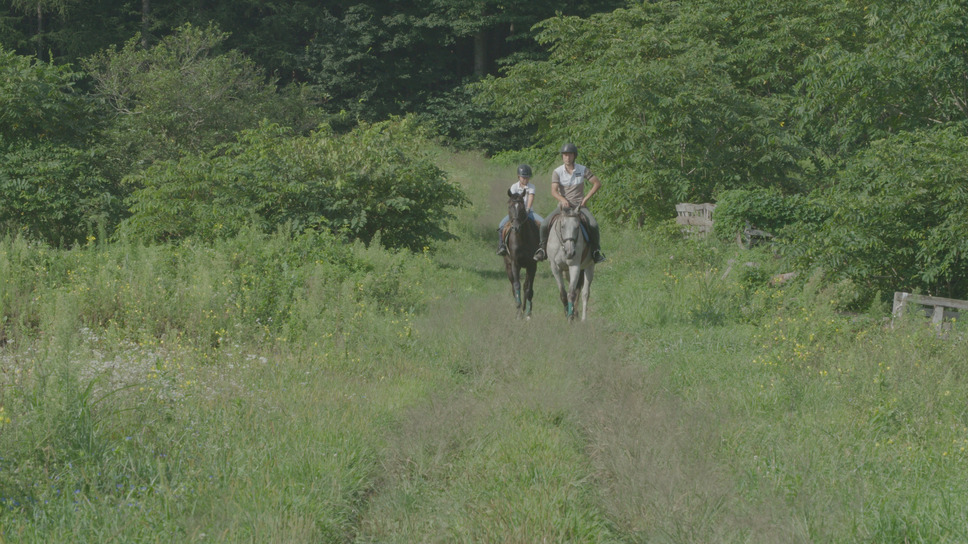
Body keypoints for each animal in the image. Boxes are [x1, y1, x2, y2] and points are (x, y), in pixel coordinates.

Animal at [502, 190, 540, 318]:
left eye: (522, 208)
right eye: (509, 206)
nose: (515, 227)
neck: (522, 238)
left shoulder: (532, 265)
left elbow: (528, 288)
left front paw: (528, 313)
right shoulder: (515, 263)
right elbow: (516, 285)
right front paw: (518, 311)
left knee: (526, 286)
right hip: (508, 265)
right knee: (514, 285)